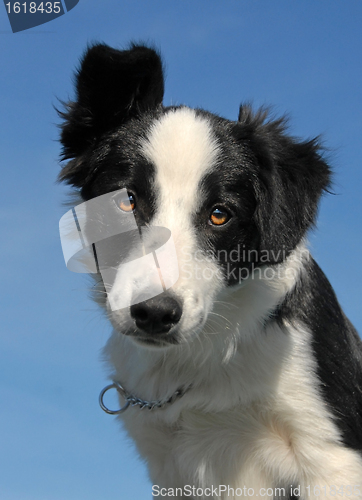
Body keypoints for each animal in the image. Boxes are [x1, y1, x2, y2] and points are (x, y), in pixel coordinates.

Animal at [59, 45, 362, 498]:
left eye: (220, 214)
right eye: (126, 201)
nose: (154, 314)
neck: (204, 360)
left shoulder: (332, 457)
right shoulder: (170, 467)